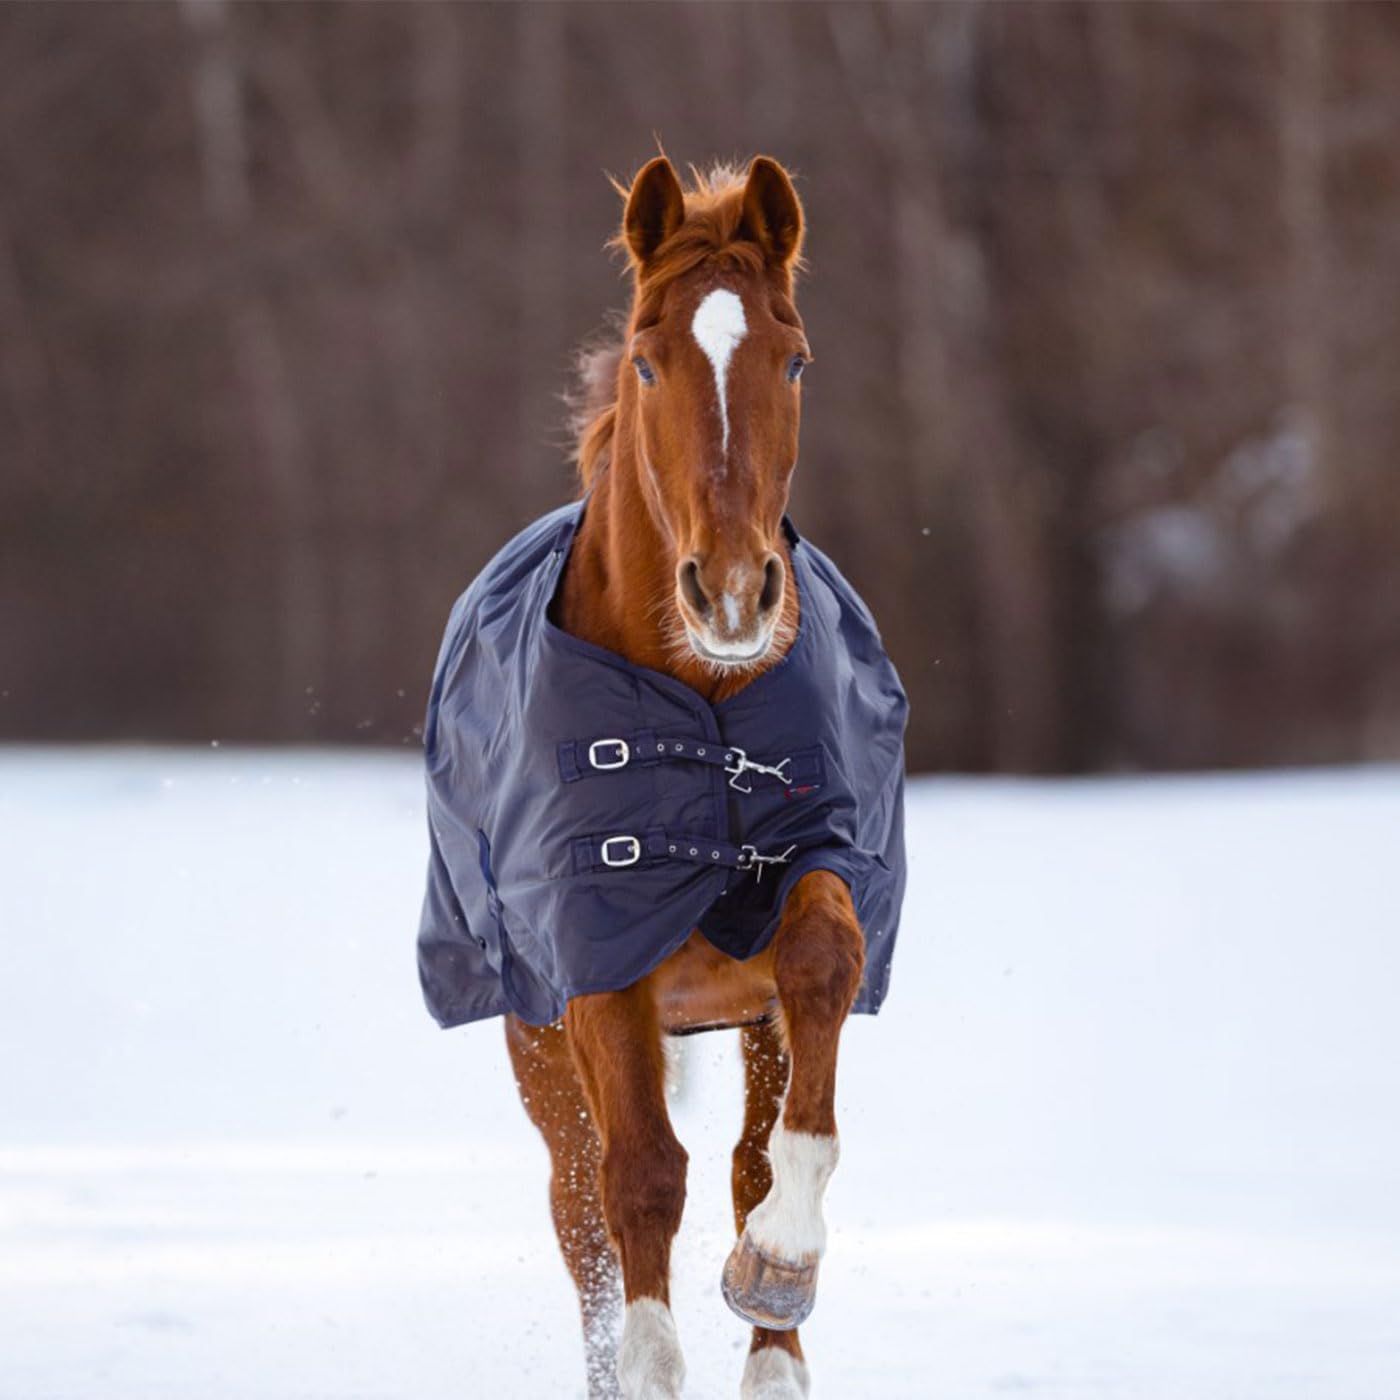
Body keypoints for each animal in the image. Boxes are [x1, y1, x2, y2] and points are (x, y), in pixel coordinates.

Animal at [418, 154, 907, 1399]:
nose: (732, 592)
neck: (700, 705)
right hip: (535, 1034)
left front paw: (779, 1268)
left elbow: (805, 1024)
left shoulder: (812, 879)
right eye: (647, 359)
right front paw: (647, 1363)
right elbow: (638, 1174)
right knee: (579, 1200)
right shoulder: (596, 945)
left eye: (795, 357)